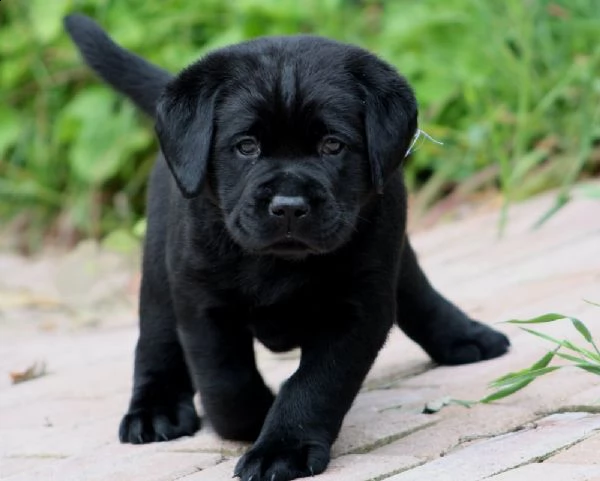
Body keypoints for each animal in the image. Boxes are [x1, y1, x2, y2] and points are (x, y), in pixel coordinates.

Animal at [64, 15, 506, 480]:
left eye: (332, 145)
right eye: (246, 146)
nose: (290, 205)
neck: (278, 264)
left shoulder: (358, 306)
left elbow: (315, 384)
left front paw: (281, 448)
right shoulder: (202, 302)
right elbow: (225, 382)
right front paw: (256, 416)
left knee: (416, 290)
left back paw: (465, 336)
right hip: (157, 268)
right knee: (155, 338)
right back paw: (155, 412)